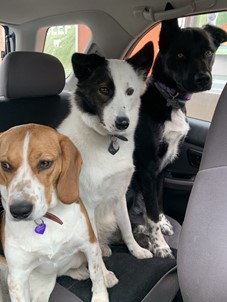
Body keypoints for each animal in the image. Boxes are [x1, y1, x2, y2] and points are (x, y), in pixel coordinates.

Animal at [57, 42, 154, 260]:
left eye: (130, 91)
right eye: (104, 89)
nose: (123, 123)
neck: (109, 142)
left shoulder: (119, 195)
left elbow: (126, 228)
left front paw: (136, 250)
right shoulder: (87, 205)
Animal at [127, 10, 227, 258]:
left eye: (209, 52)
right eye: (180, 54)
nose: (204, 79)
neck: (170, 100)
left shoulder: (162, 169)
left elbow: (159, 202)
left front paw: (163, 224)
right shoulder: (147, 169)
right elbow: (152, 213)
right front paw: (159, 244)